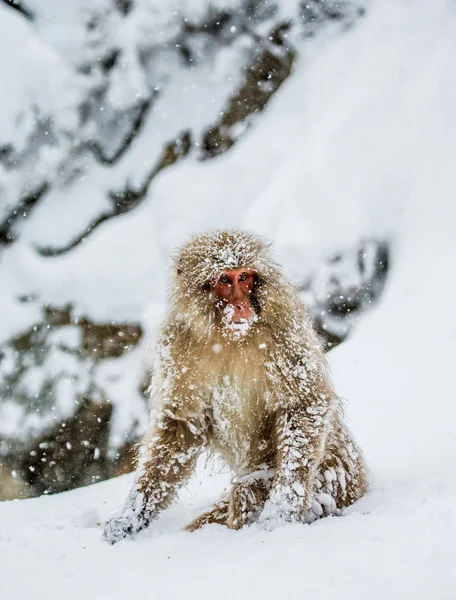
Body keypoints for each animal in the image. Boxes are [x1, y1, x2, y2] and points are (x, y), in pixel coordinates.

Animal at [103, 230, 366, 544]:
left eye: (244, 277)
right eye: (224, 280)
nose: (241, 305)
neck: (227, 337)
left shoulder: (284, 330)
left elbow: (305, 404)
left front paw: (282, 510)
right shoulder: (176, 345)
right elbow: (183, 426)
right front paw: (132, 515)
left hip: (335, 478)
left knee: (249, 491)